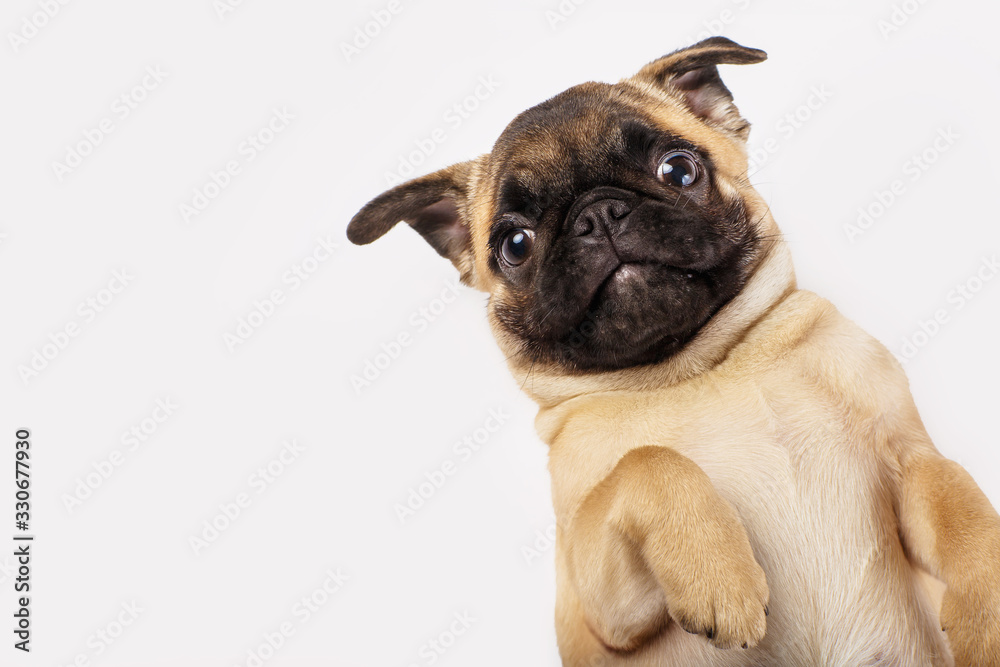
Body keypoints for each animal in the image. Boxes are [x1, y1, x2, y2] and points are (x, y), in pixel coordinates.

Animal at [346, 37, 1000, 667]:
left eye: (680, 171)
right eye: (515, 244)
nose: (598, 214)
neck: (698, 370)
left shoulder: (907, 456)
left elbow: (961, 503)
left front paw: (986, 612)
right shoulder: (592, 595)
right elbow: (651, 462)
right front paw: (719, 576)